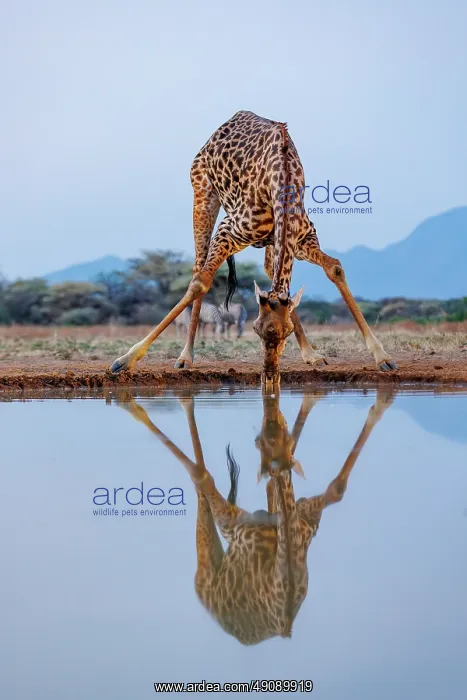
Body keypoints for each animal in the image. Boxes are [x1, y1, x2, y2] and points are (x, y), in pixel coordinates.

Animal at [110, 111, 397, 387]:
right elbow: (201, 283)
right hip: (202, 194)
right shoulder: (228, 230)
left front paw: (382, 357)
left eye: (286, 332)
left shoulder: (302, 239)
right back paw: (185, 357)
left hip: (271, 242)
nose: (269, 376)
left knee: (269, 270)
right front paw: (124, 360)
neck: (282, 178)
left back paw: (311, 355)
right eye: (256, 329)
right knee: (197, 269)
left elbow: (334, 268)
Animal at [115, 386, 394, 645]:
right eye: (260, 442)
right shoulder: (235, 520)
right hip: (207, 573)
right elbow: (202, 475)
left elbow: (336, 489)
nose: (274, 419)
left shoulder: (301, 513)